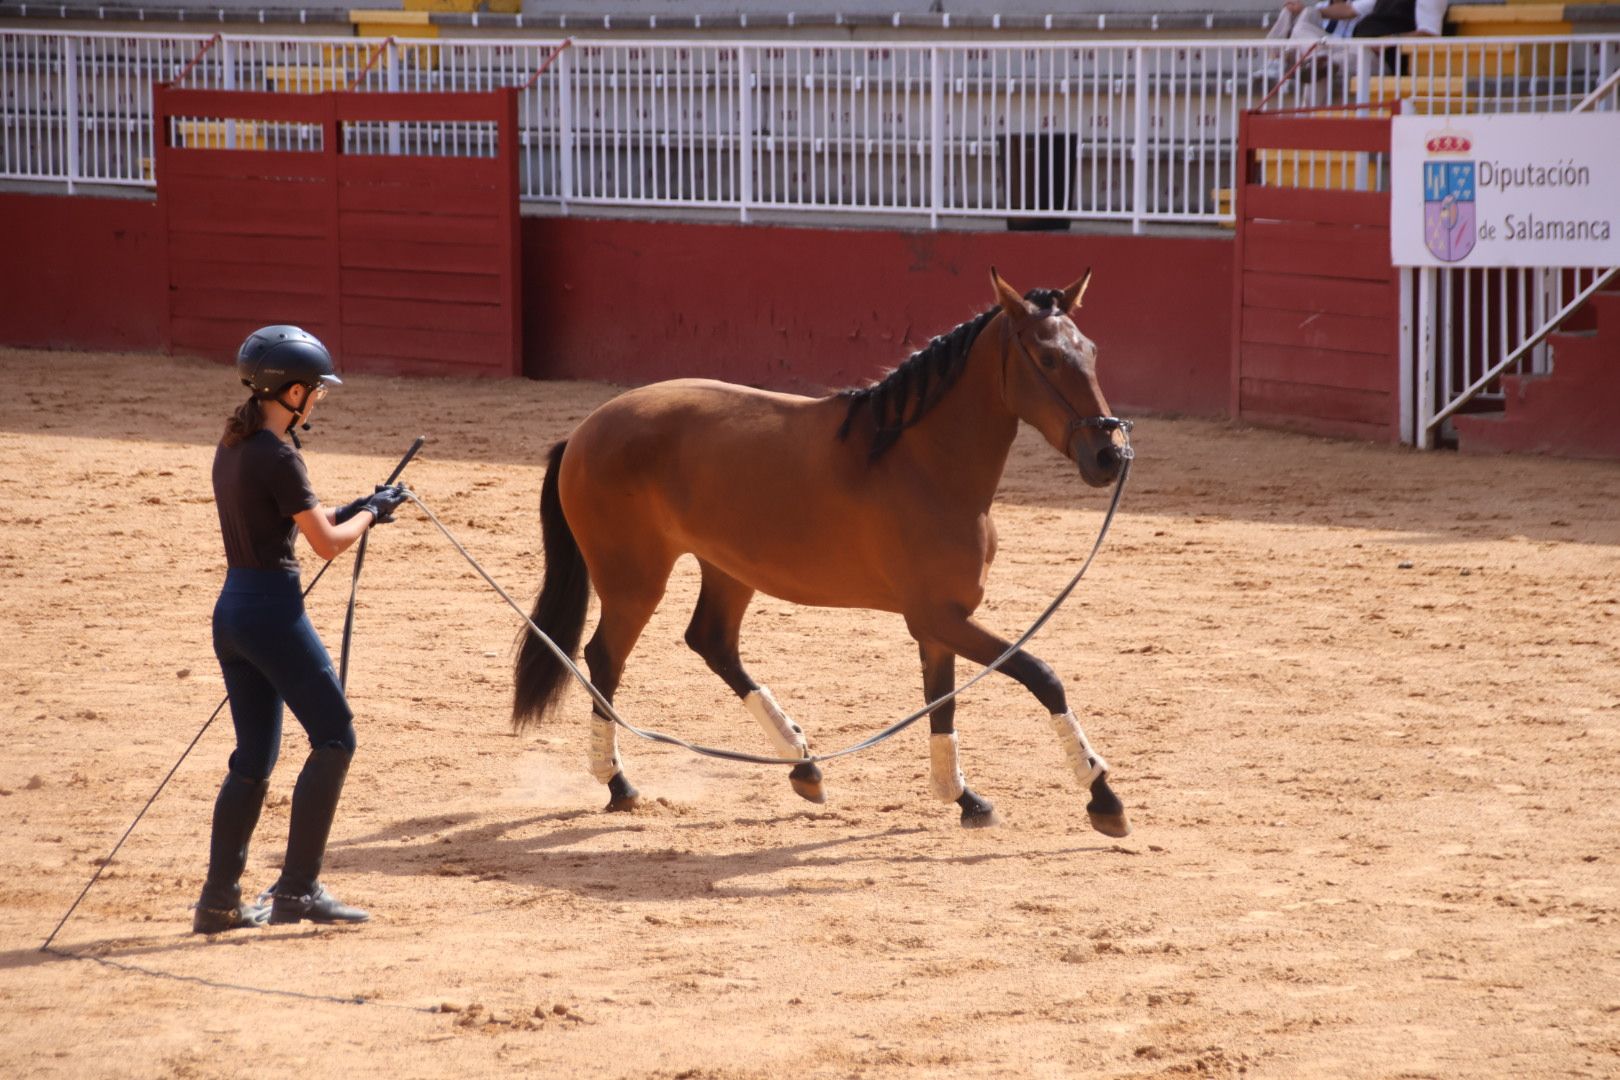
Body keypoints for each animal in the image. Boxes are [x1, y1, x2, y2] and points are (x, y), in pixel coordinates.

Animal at [511, 268, 1134, 835]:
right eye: (1047, 358)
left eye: (1091, 351)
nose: (1109, 455)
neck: (922, 464)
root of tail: (585, 432)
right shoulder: (938, 618)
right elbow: (1041, 675)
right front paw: (1102, 795)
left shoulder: (941, 623)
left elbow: (943, 704)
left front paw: (964, 798)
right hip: (634, 583)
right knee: (604, 661)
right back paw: (619, 783)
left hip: (729, 570)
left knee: (712, 643)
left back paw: (803, 765)